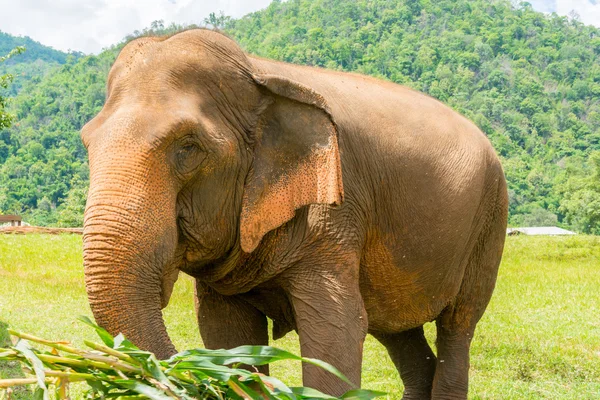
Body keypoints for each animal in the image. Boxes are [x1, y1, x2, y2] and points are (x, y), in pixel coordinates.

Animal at [82, 29, 508, 398]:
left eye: (188, 147)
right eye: (87, 142)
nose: (178, 374)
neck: (257, 73)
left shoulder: (336, 213)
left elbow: (336, 329)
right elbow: (227, 335)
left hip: (490, 219)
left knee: (458, 325)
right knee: (397, 330)